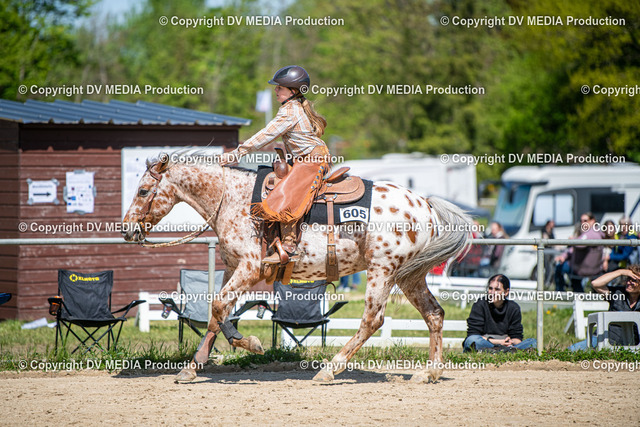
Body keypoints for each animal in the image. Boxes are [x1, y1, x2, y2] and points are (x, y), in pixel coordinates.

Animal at [122, 151, 473, 383]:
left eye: (143, 190)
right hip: (410, 276)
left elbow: (221, 308)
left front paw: (250, 344)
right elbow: (215, 314)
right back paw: (430, 372)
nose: (126, 230)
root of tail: (425, 205)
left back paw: (330, 370)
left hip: (382, 271)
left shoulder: (249, 268)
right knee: (434, 314)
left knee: (372, 320)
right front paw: (192, 367)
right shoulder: (232, 268)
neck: (233, 200)